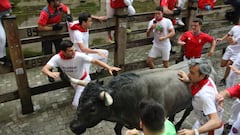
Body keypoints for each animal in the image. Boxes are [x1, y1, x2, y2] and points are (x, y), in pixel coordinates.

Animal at [70, 61, 218, 135]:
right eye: (80, 100)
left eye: (92, 109)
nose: (73, 126)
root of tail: (209, 67)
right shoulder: (124, 120)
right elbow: (117, 129)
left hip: (193, 104)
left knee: (186, 113)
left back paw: (178, 125)